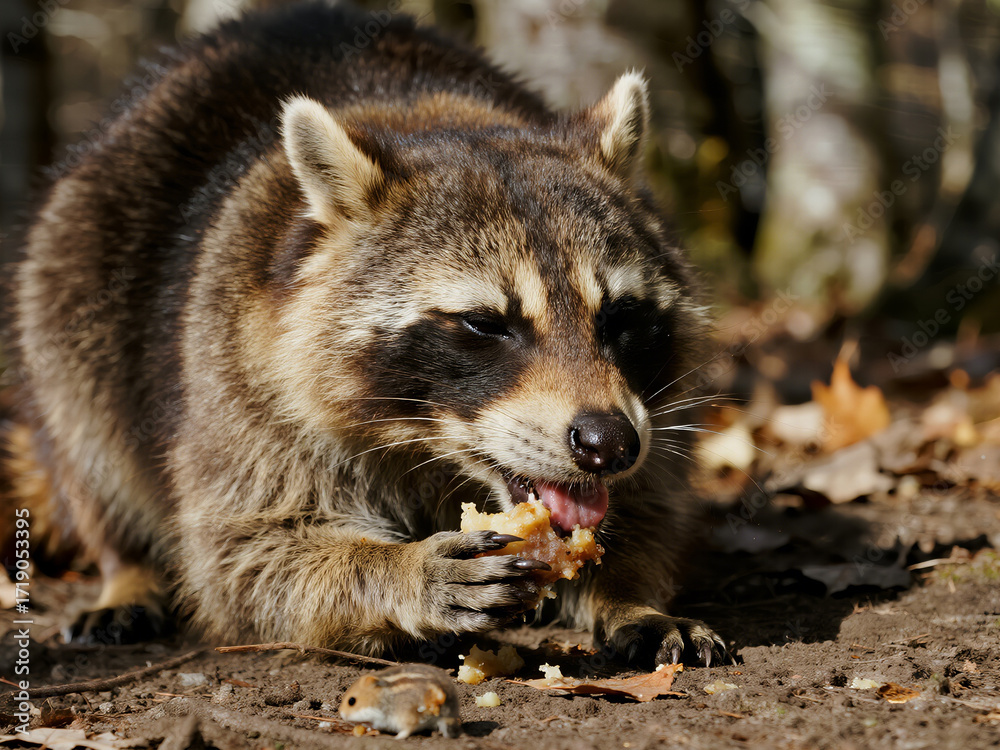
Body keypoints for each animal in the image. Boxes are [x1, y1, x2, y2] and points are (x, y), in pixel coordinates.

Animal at [8, 2, 724, 665]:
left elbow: (647, 506)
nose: (610, 444)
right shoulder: (238, 373)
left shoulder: (657, 402)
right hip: (67, 275)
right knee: (90, 437)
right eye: (485, 324)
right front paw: (399, 573)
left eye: (621, 317)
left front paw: (630, 595)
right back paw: (125, 567)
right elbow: (242, 553)